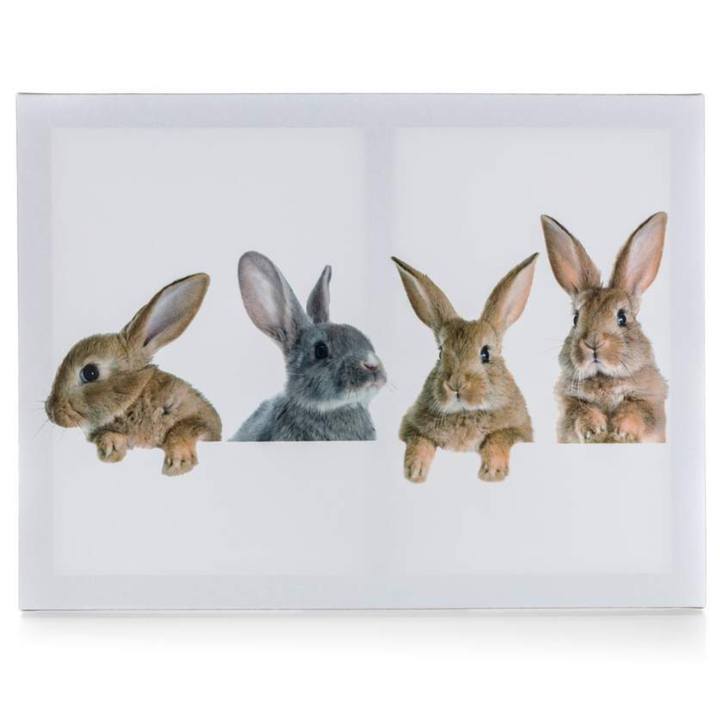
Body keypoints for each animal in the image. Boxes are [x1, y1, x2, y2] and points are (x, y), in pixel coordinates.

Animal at [45, 274, 222, 475]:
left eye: (90, 373)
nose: (51, 411)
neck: (135, 398)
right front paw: (110, 449)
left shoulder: (205, 420)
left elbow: (185, 428)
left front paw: (178, 463)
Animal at [391, 253, 537, 483]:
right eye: (440, 352)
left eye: (485, 353)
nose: (456, 384)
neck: (464, 413)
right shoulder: (410, 427)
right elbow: (420, 441)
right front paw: (414, 471)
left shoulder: (519, 430)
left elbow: (499, 437)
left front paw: (492, 473)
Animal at [541, 212, 668, 443]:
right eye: (576, 318)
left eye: (622, 317)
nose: (593, 342)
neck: (604, 378)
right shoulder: (569, 405)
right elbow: (581, 413)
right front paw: (595, 431)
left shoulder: (650, 402)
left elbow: (636, 411)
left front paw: (621, 431)